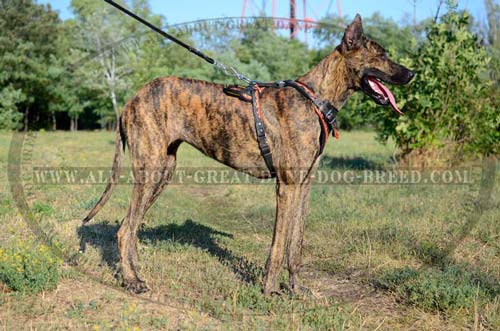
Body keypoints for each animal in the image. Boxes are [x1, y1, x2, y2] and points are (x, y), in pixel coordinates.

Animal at [82, 14, 414, 296]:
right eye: (381, 55)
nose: (411, 73)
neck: (315, 99)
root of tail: (130, 100)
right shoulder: (287, 187)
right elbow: (278, 246)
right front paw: (270, 290)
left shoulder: (304, 186)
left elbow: (296, 245)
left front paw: (296, 289)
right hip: (150, 170)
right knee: (124, 230)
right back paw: (132, 282)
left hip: (163, 170)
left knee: (132, 228)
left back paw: (136, 273)